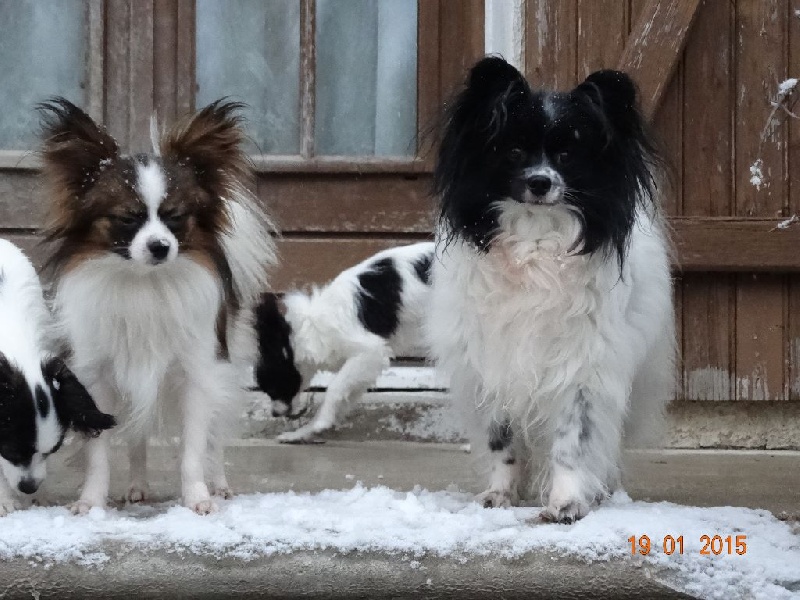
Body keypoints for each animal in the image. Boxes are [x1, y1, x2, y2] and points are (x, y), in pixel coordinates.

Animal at [38, 99, 276, 516]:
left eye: (175, 217)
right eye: (127, 218)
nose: (161, 247)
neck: (143, 284)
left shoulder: (197, 375)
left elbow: (193, 450)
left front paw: (197, 498)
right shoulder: (96, 380)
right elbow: (99, 454)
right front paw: (91, 502)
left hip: (224, 371)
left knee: (214, 438)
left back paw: (219, 485)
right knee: (137, 437)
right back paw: (137, 487)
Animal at [255, 241, 432, 442]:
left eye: (274, 387)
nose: (274, 414)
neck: (313, 328)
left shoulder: (370, 352)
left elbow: (334, 388)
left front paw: (321, 422)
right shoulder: (362, 369)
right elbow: (343, 397)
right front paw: (303, 432)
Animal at [428, 58, 672, 524]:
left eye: (566, 155)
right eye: (514, 152)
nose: (541, 182)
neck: (535, 243)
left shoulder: (583, 367)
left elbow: (572, 442)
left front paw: (567, 501)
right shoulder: (492, 362)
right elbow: (501, 440)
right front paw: (500, 494)